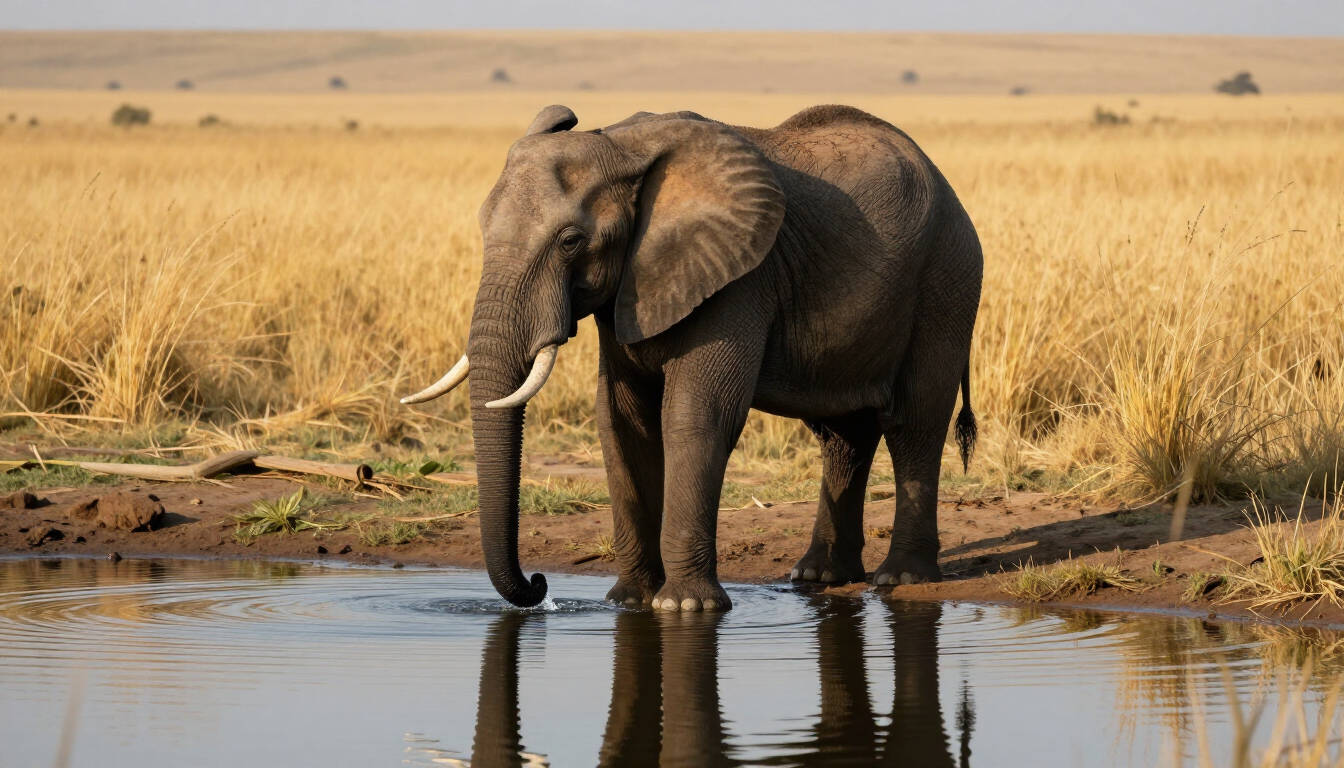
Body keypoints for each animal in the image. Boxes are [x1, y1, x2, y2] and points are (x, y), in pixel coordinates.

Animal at [402, 102, 983, 610]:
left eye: (570, 241)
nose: (540, 585)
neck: (619, 143)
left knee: (913, 422)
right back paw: (818, 577)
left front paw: (684, 608)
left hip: (947, 279)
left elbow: (695, 415)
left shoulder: (738, 279)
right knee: (844, 436)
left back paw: (900, 578)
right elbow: (622, 422)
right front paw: (628, 602)